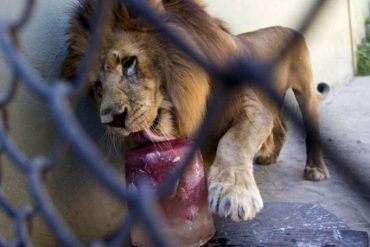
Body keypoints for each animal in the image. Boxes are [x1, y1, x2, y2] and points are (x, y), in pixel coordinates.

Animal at [62, 0, 330, 222]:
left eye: (129, 62)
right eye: (97, 86)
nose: (112, 120)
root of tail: (287, 28)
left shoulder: (250, 108)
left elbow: (233, 141)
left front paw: (233, 193)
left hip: (306, 92)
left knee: (311, 129)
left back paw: (315, 169)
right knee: (281, 125)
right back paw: (269, 157)